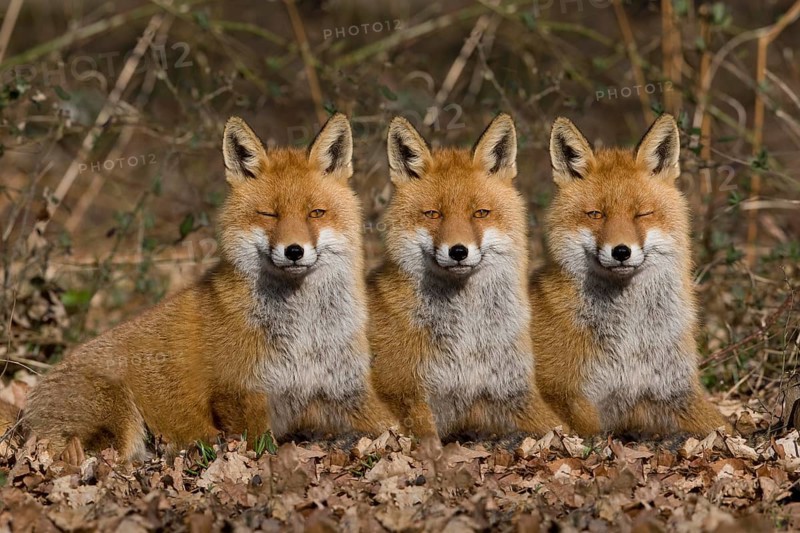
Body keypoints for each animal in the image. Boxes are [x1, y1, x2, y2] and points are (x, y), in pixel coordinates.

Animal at [21, 113, 394, 464]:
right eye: (268, 214)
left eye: (316, 213)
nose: (294, 251)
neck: (304, 331)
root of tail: (26, 408)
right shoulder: (239, 393)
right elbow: (260, 447)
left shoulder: (345, 388)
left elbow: (394, 429)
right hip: (120, 423)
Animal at [368, 113, 564, 440]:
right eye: (433, 214)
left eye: (480, 213)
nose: (458, 251)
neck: (466, 340)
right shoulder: (406, 396)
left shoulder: (511, 391)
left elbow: (561, 428)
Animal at [530, 113, 730, 437]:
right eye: (596, 214)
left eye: (642, 214)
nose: (621, 251)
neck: (629, 339)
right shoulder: (559, 393)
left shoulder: (674, 390)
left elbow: (725, 428)